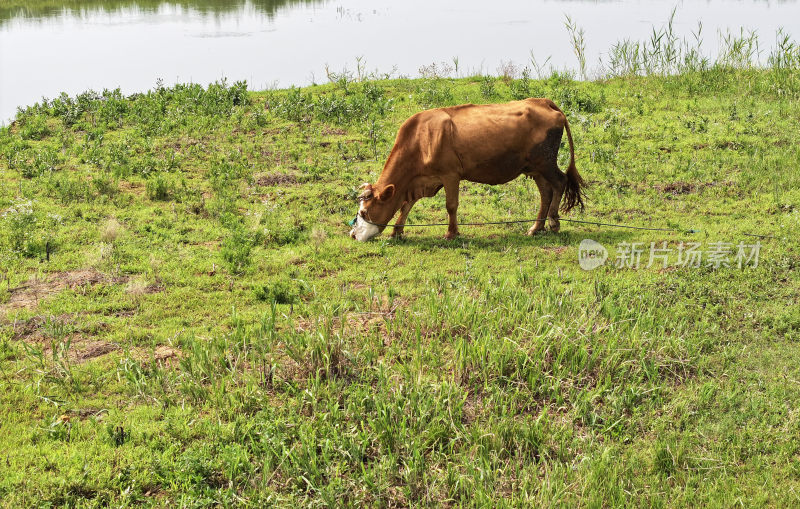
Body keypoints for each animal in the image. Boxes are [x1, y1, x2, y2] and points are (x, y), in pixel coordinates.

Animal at [346, 100, 584, 243]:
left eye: (364, 213)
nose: (352, 235)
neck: (421, 139)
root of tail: (542, 101)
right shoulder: (418, 181)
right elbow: (406, 205)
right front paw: (397, 231)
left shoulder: (450, 175)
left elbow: (451, 205)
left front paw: (451, 233)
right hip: (535, 168)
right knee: (546, 192)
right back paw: (536, 227)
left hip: (545, 162)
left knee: (560, 182)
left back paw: (553, 222)